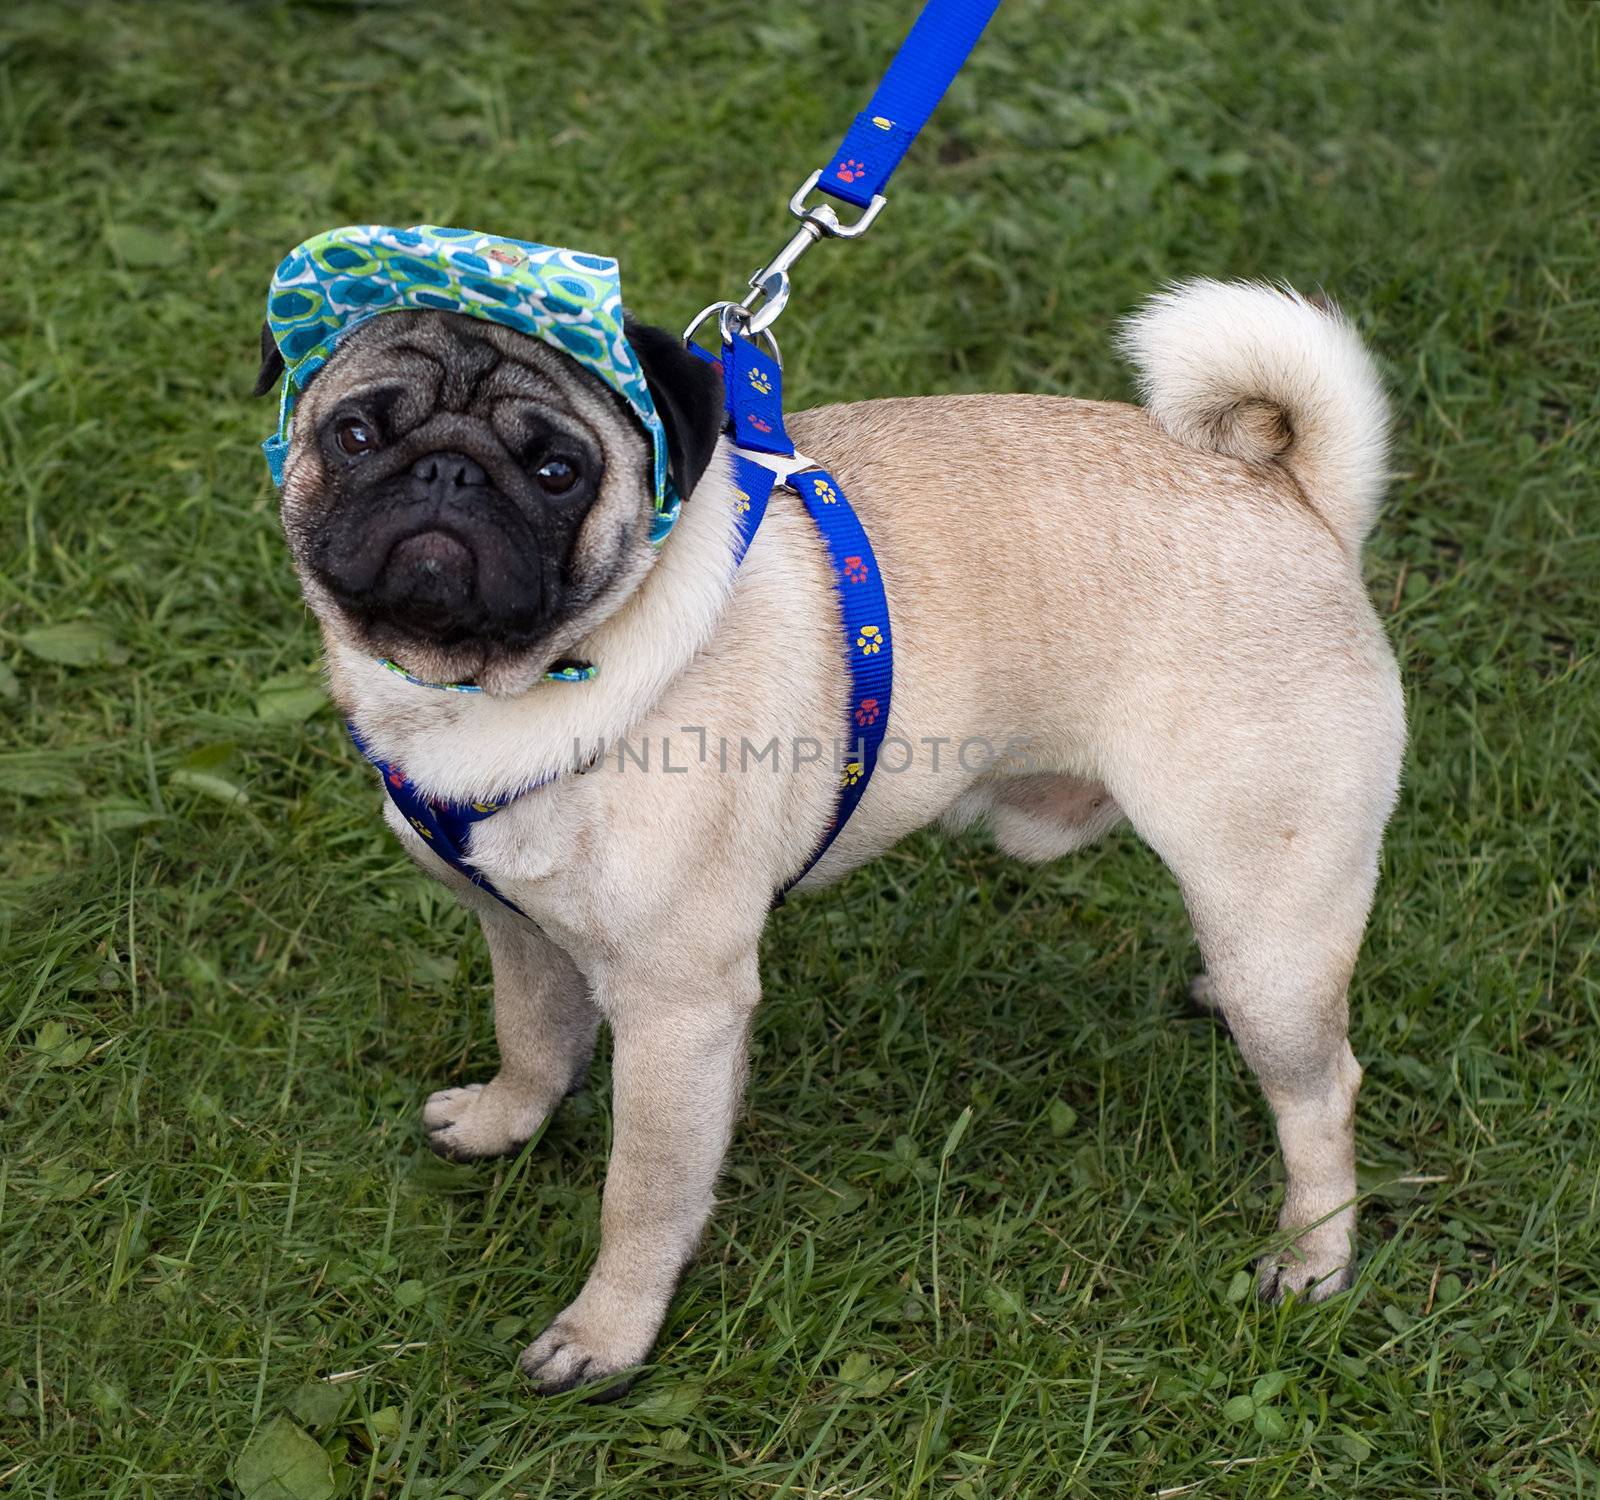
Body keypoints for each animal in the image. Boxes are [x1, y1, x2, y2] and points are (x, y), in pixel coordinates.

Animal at [249, 278, 1401, 1394]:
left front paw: (607, 1336)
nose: (446, 473)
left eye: (556, 470)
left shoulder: (679, 1010)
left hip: (1267, 907)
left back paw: (1311, 1256)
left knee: (1320, 1090)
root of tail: (1294, 494)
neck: (487, 691)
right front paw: (503, 1123)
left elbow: (644, 1190)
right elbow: (531, 1038)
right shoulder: (521, 929)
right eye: (355, 434)